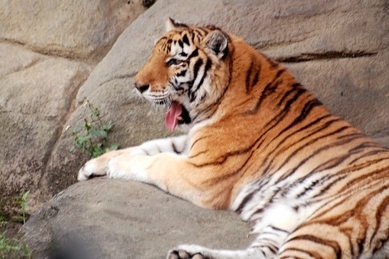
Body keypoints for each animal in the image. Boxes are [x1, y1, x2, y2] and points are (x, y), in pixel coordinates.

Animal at [79, 18, 388, 259]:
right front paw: (92, 165)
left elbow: (156, 162)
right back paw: (191, 253)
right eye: (153, 55)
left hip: (331, 222)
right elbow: (147, 147)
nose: (137, 86)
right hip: (286, 218)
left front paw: (116, 165)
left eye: (174, 61)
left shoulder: (202, 171)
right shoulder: (191, 144)